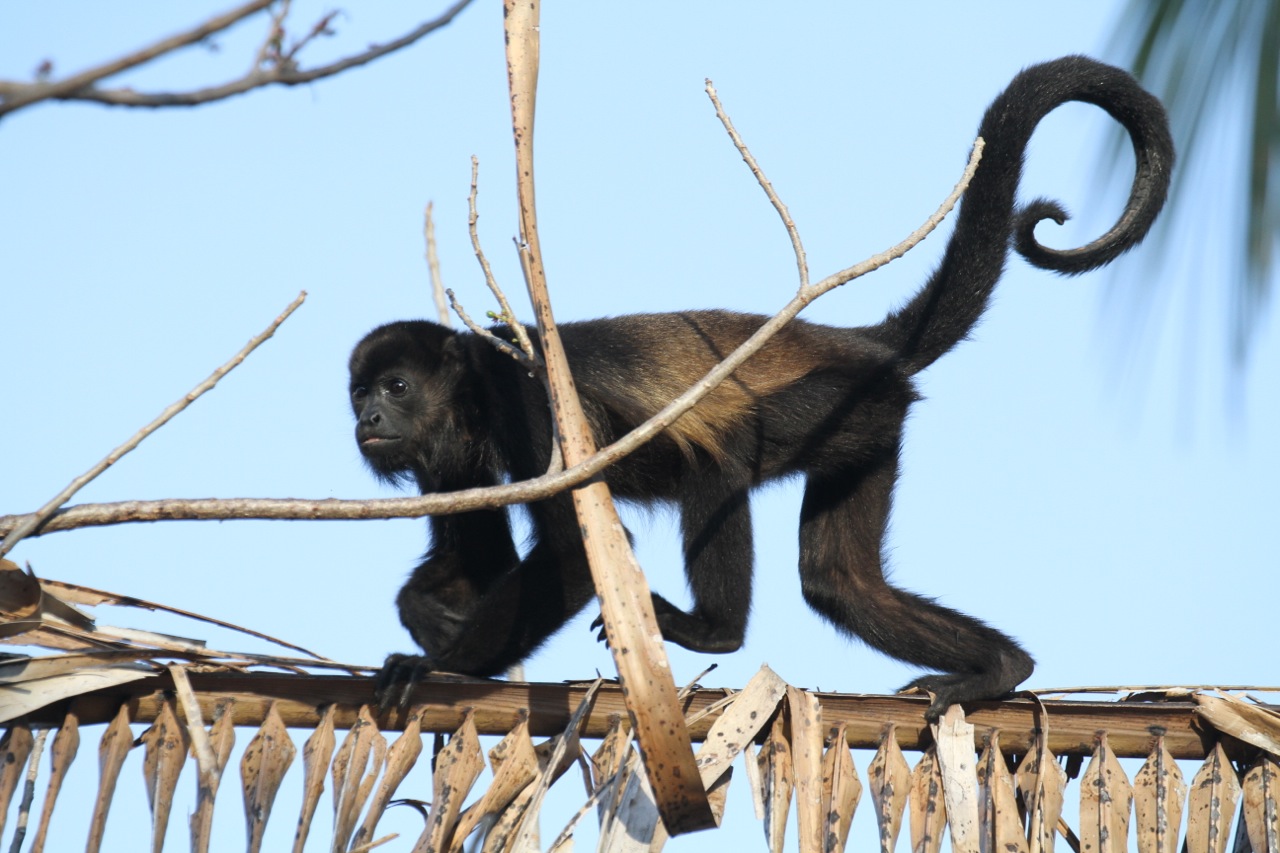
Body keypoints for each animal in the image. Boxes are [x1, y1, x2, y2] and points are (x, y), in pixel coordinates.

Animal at [350, 56, 1173, 720]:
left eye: (397, 384)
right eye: (358, 394)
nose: (368, 419)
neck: (473, 396)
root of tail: (853, 341)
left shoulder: (530, 405)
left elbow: (578, 556)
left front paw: (439, 669)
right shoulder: (446, 455)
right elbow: (477, 556)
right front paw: (423, 616)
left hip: (841, 400)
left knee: (720, 457)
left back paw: (713, 628)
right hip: (872, 423)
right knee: (839, 582)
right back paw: (998, 668)